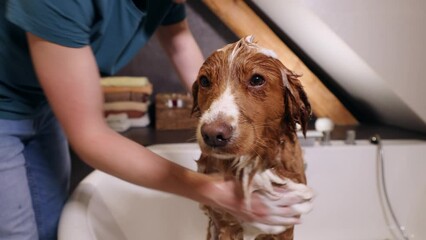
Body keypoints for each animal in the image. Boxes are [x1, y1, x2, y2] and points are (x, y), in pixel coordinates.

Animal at [192, 36, 312, 240]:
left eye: (257, 79)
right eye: (205, 81)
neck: (252, 162)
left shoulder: (285, 227)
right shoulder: (224, 224)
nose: (213, 135)